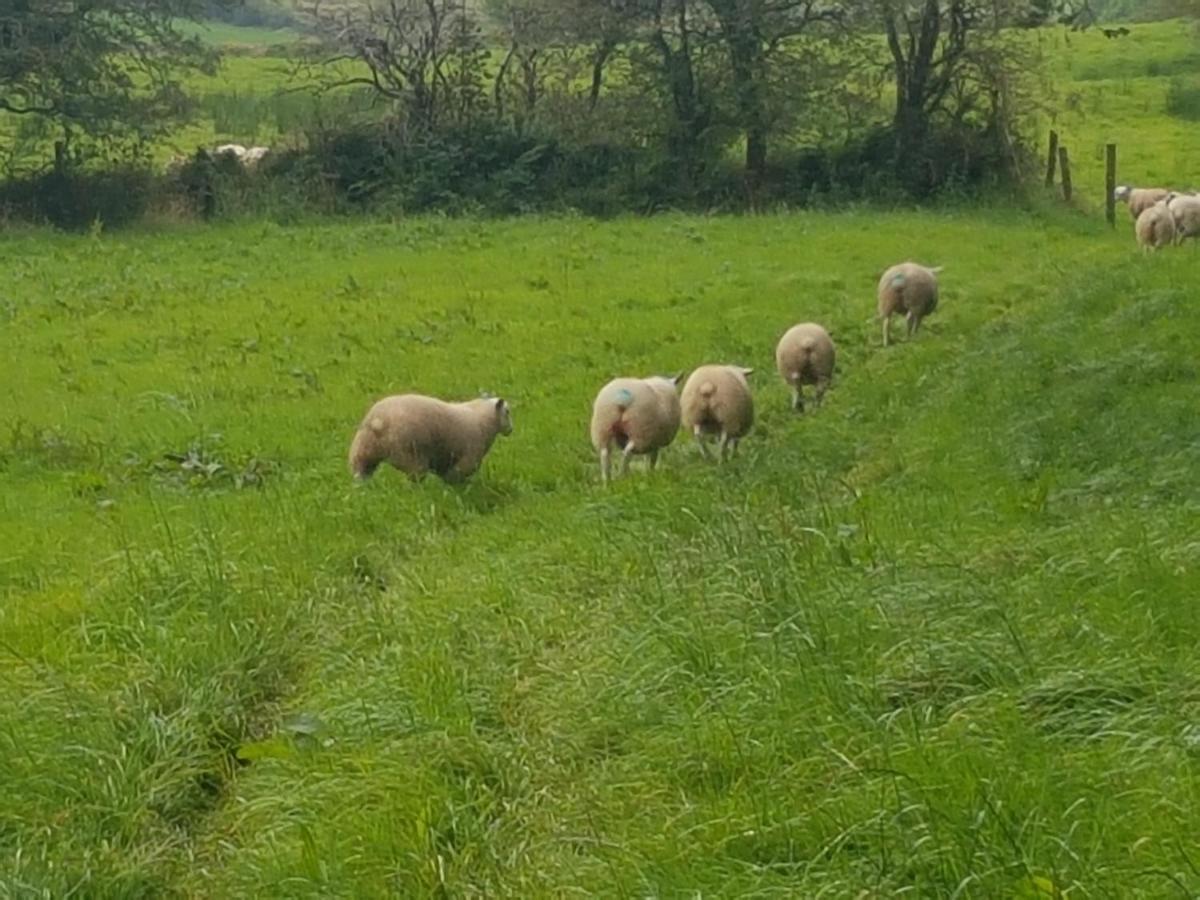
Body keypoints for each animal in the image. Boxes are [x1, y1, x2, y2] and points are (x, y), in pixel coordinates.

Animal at [350, 391, 513, 482]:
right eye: (507, 411)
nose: (511, 430)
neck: (483, 419)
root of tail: (379, 421)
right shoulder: (469, 455)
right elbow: (459, 473)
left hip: (363, 448)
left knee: (361, 470)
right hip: (410, 452)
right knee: (416, 477)